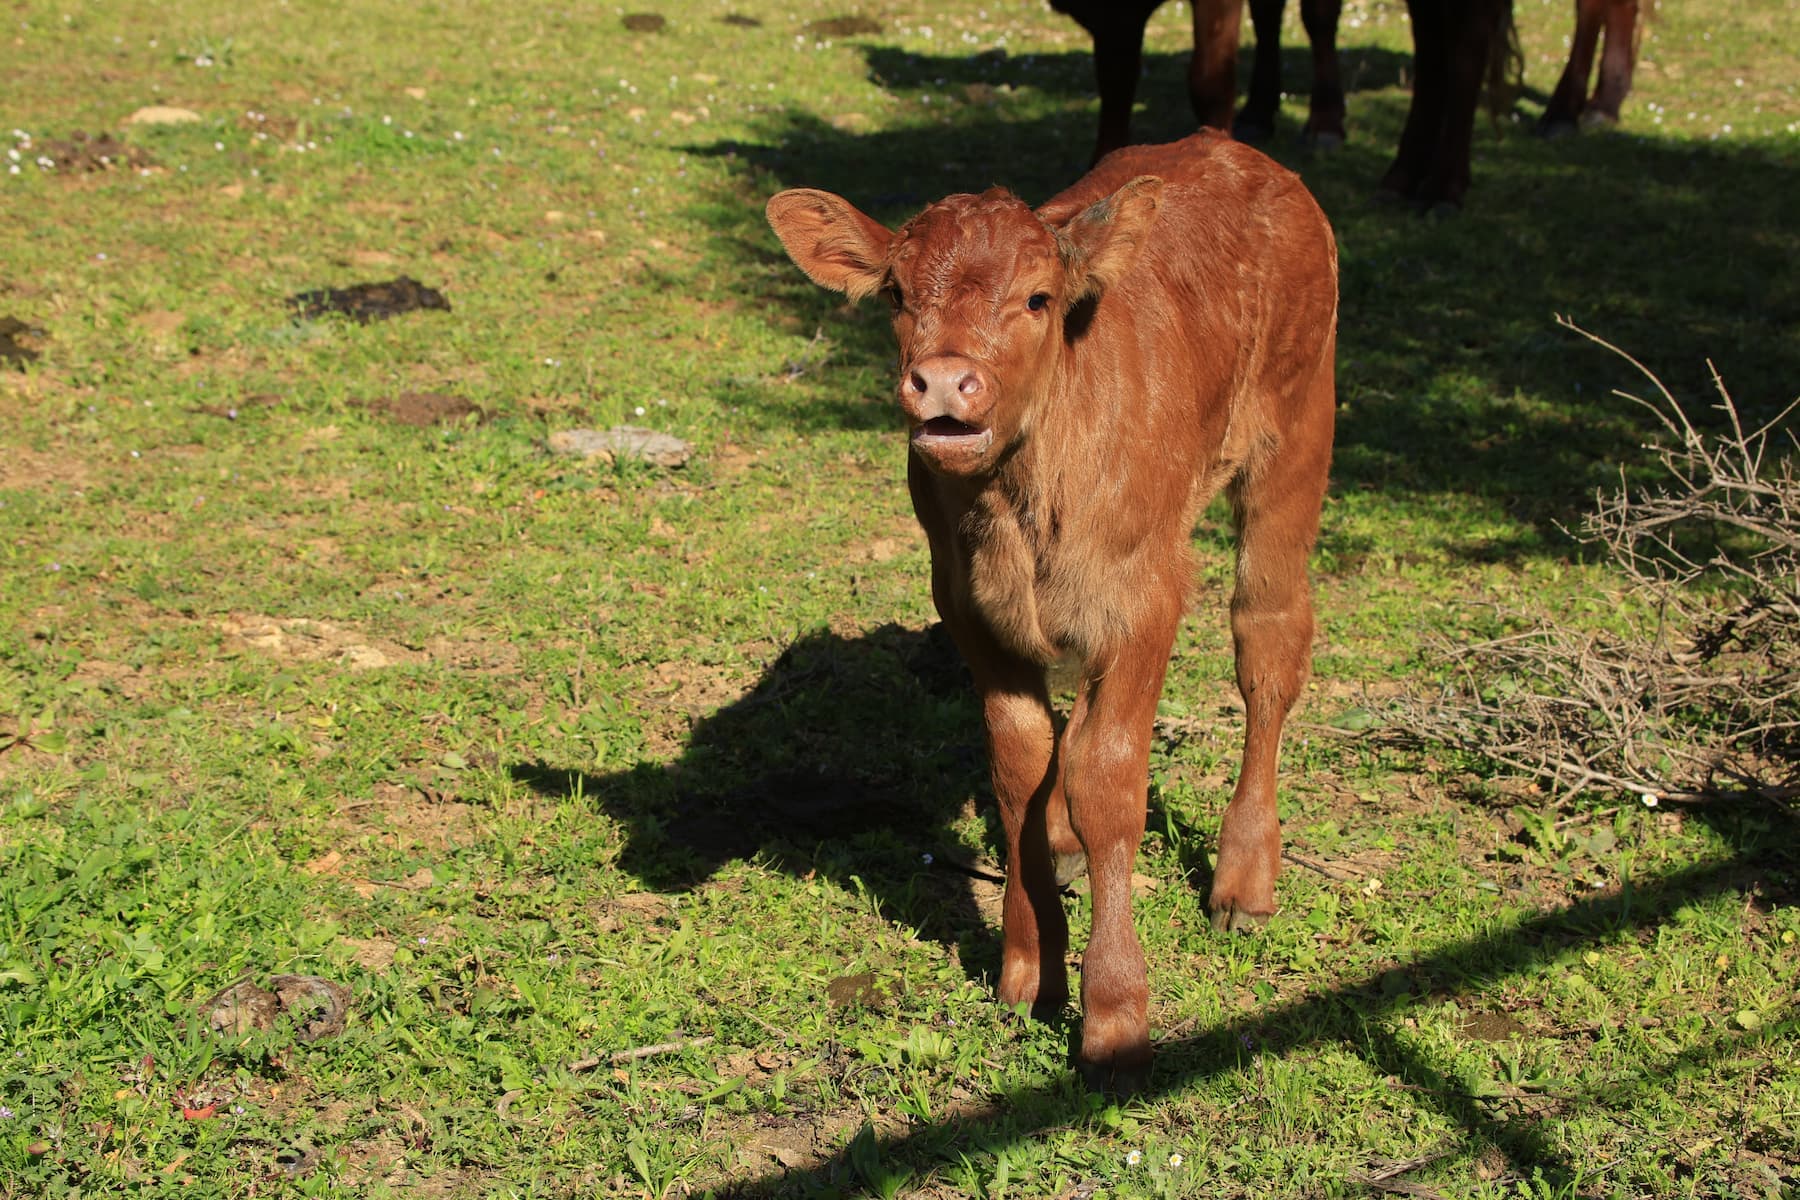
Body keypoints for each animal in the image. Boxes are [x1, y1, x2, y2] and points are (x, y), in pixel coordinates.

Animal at [765, 131, 1337, 1091]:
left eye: (1037, 298)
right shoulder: (968, 611)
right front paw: (1029, 968)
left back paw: (1245, 878)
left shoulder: (1144, 601)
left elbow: (1109, 776)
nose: (944, 383)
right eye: (897, 295)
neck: (1022, 495)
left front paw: (1114, 1013)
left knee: (1269, 642)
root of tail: (1239, 153)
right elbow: (1020, 765)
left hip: (1294, 440)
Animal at [1049, 0, 1346, 164]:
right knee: (1267, 15)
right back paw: (1256, 114)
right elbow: (1116, 84)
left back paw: (1326, 122)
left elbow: (1209, 81)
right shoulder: (1115, 21)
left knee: (1319, 18)